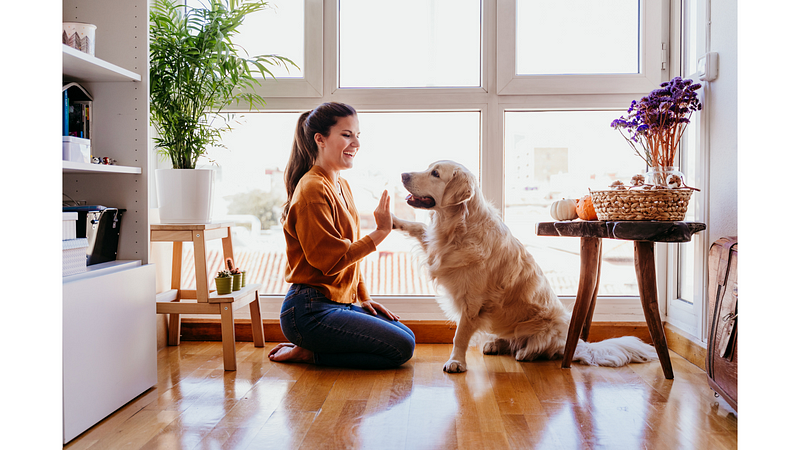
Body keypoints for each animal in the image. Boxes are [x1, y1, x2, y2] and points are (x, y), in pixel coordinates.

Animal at [392, 161, 656, 372]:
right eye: (428, 168)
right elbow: (418, 228)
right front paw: (393, 220)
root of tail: (575, 342)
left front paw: (456, 362)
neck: (458, 227)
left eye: (435, 173)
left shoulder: (472, 302)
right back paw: (495, 344)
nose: (402, 174)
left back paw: (525, 353)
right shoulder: (436, 249)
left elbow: (460, 336)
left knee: (542, 348)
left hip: (549, 327)